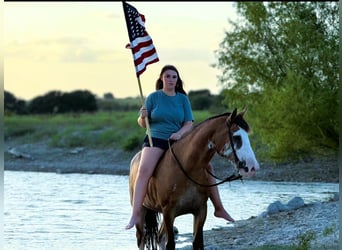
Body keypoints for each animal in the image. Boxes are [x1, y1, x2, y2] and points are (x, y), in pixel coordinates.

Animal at [128, 108, 260, 249]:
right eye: (237, 137)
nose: (253, 167)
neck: (186, 168)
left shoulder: (200, 210)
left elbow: (197, 242)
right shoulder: (169, 212)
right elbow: (171, 244)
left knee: (159, 237)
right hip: (142, 213)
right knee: (141, 239)